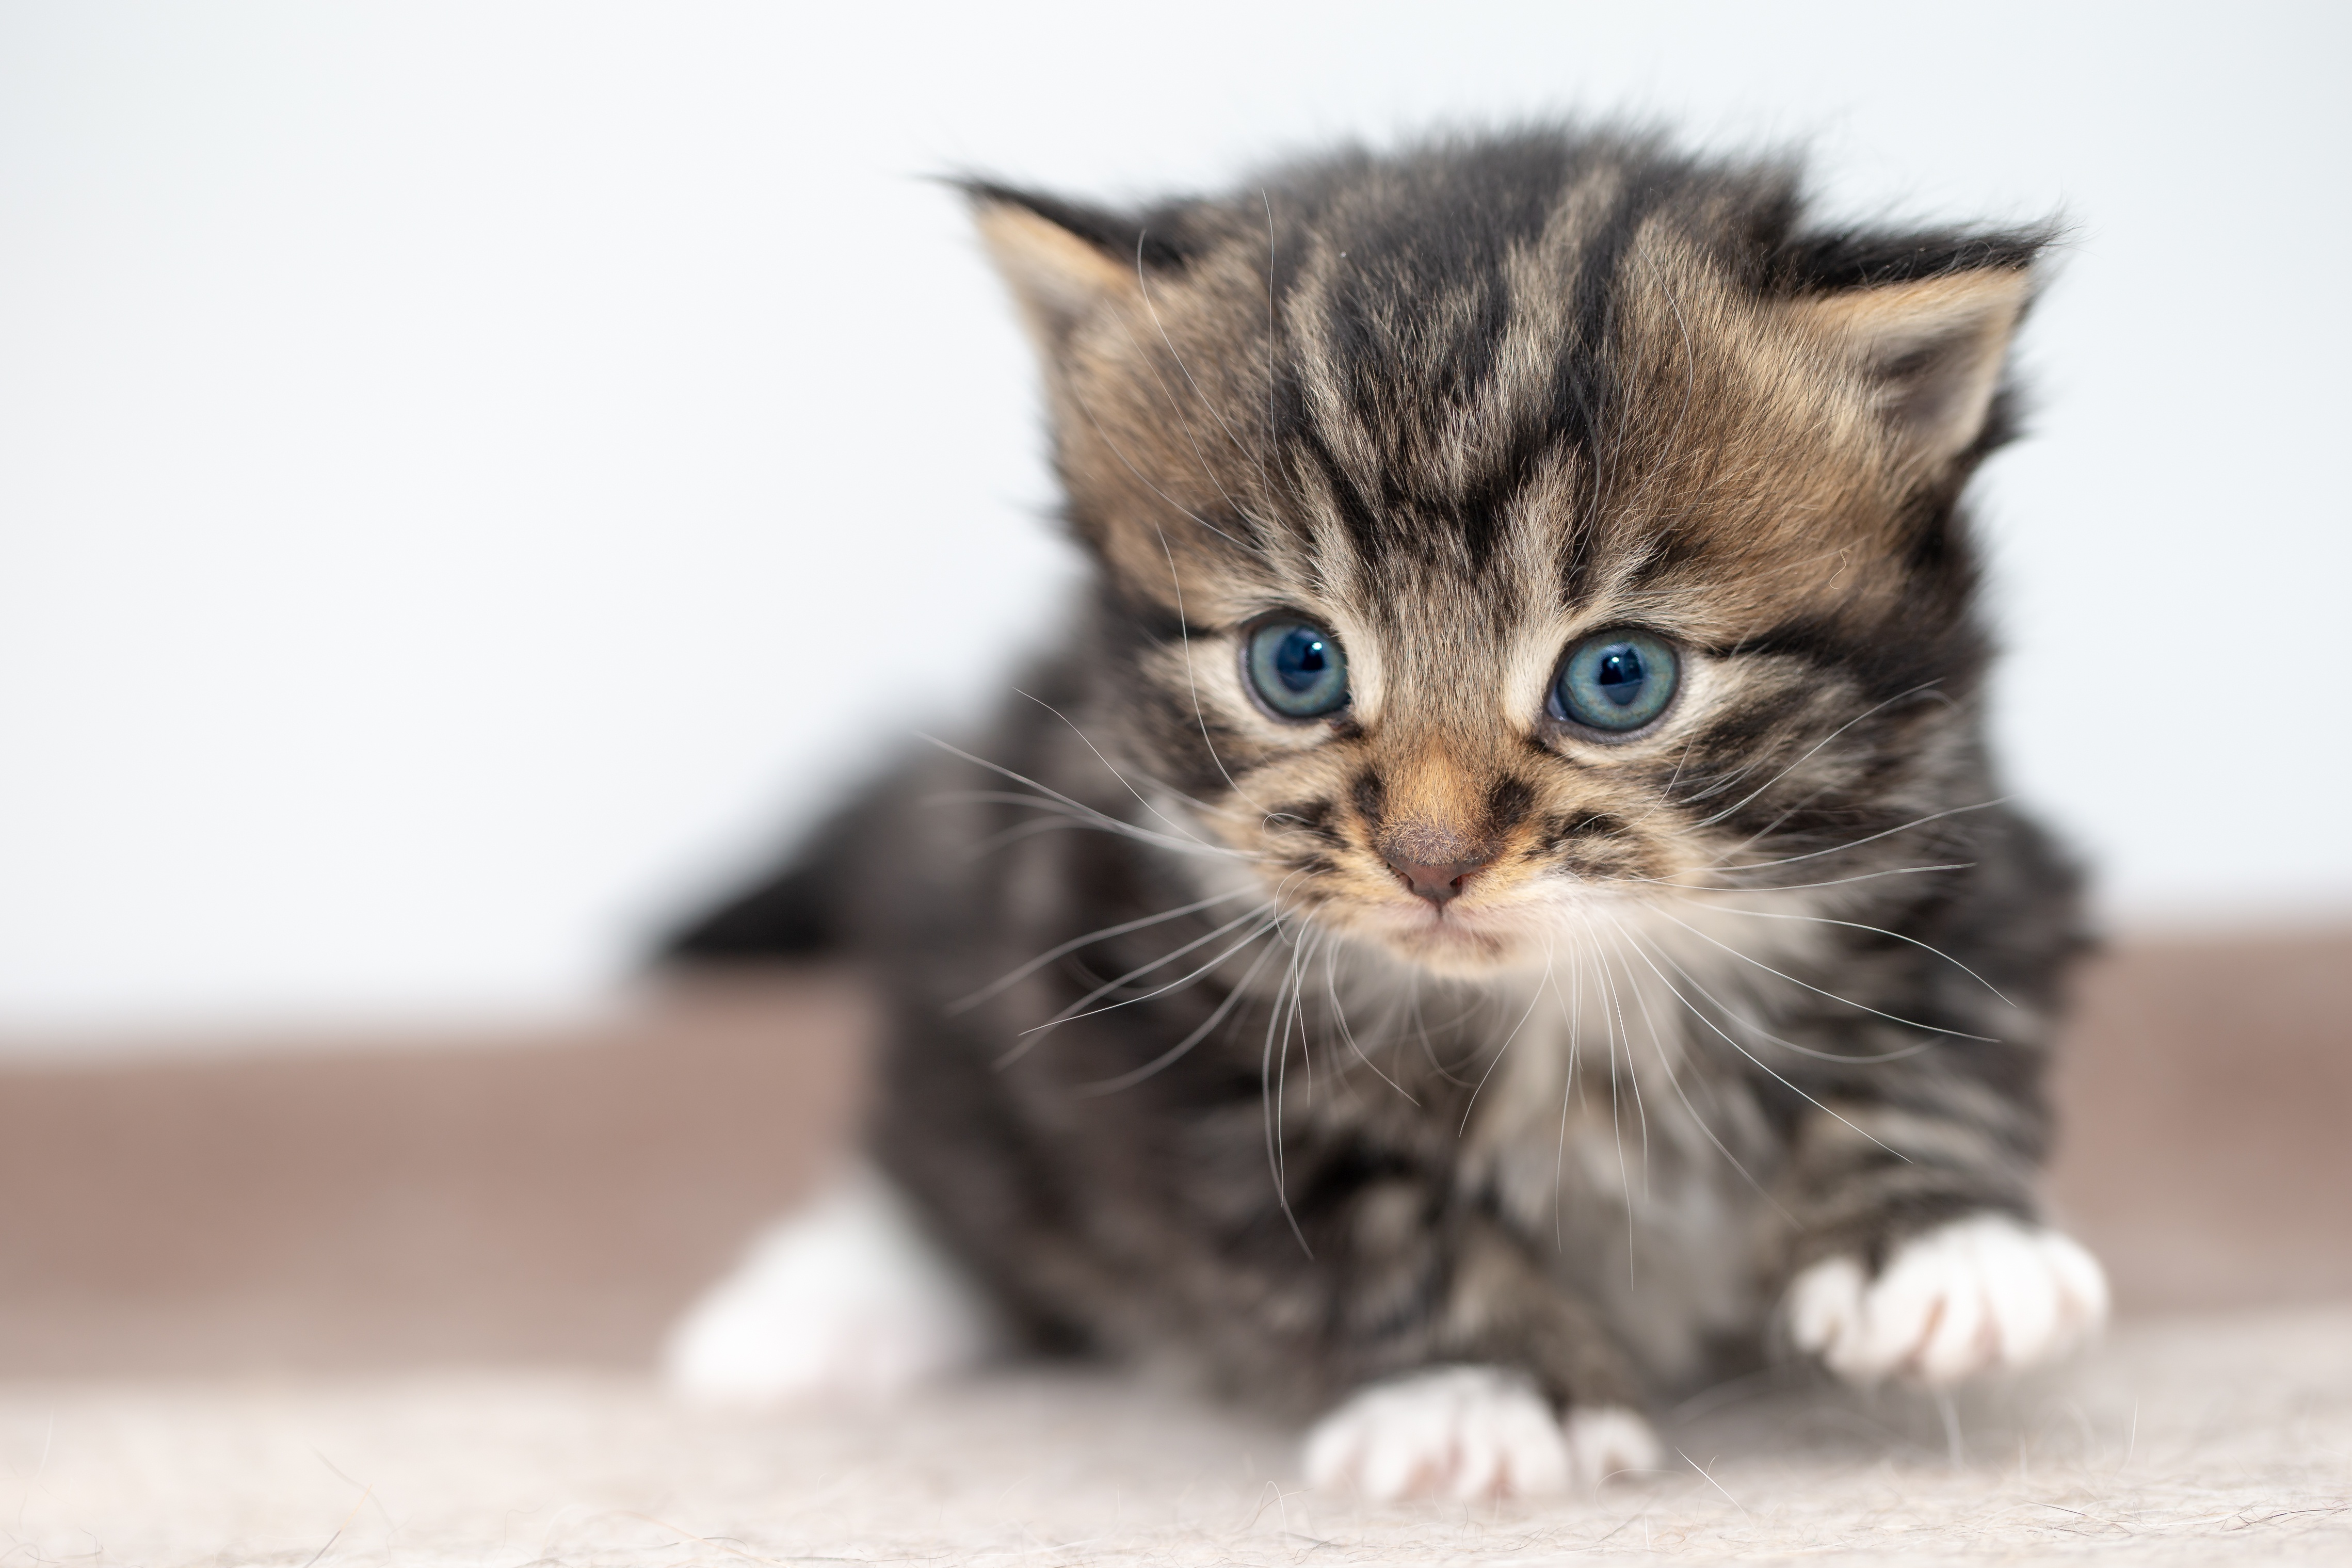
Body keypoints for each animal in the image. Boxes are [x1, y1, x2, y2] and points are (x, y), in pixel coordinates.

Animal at [663, 128, 2117, 1504]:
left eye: (1618, 677)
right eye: (1295, 664)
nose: (1431, 861)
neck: (1564, 998)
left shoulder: (1965, 842)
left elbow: (1938, 1034)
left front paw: (1936, 1247)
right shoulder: (1123, 980)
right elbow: (1342, 1212)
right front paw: (1485, 1388)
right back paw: (819, 1314)